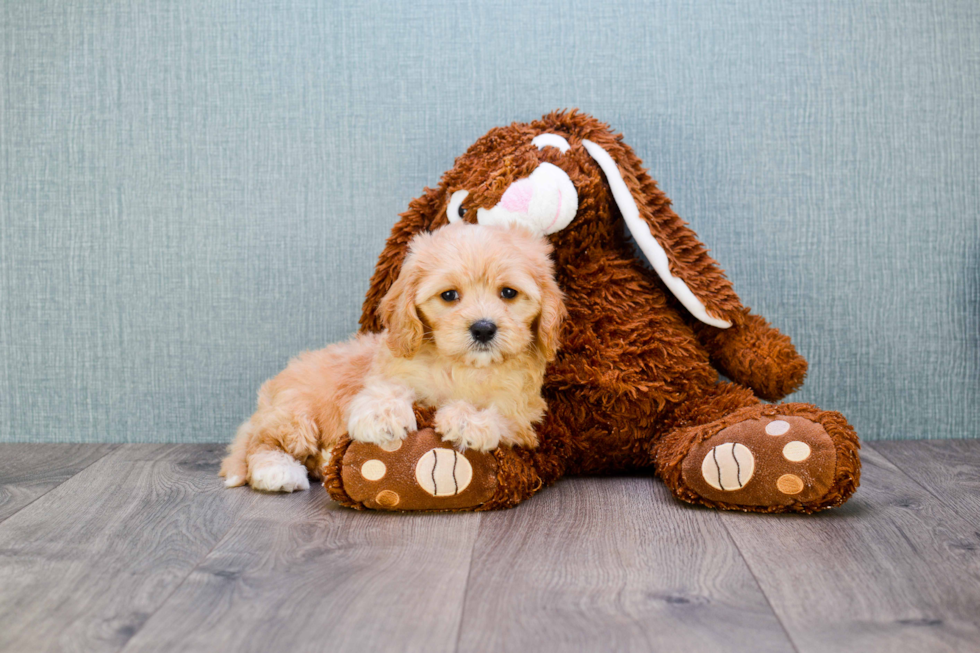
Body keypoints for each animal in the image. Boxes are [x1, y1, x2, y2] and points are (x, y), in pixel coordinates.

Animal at [217, 222, 564, 492]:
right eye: (449, 295)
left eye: (508, 293)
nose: (483, 328)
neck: (462, 367)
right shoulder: (392, 368)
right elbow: (389, 387)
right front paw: (381, 416)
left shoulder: (523, 415)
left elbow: (499, 415)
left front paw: (467, 420)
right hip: (294, 413)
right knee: (261, 444)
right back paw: (278, 471)